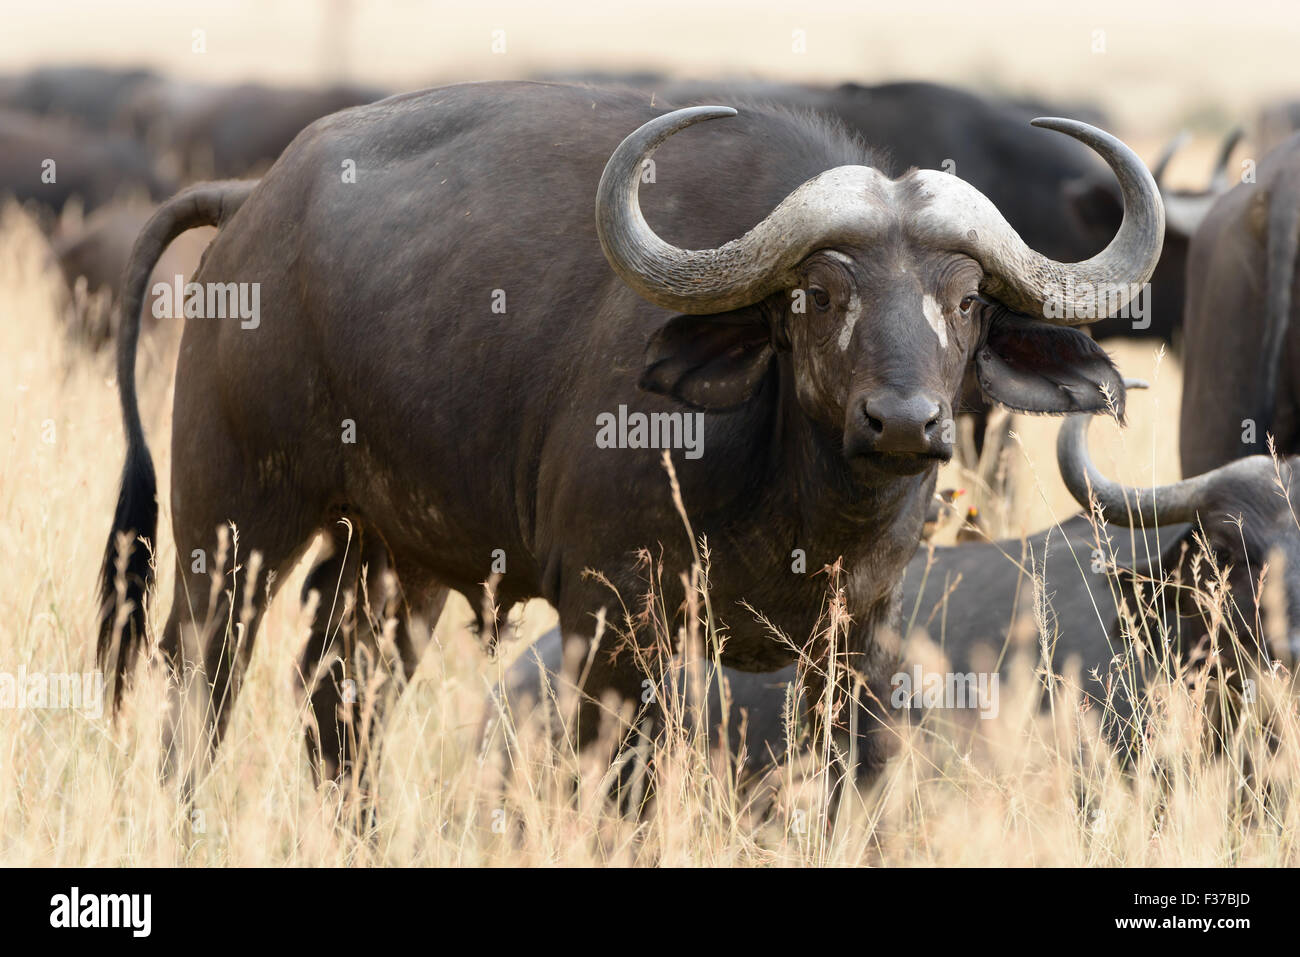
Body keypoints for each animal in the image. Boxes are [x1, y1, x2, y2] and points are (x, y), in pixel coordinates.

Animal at [96, 83, 1164, 800]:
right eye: (819, 294)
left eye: (969, 299)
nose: (903, 421)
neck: (795, 498)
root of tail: (249, 206)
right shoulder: (610, 621)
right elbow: (616, 788)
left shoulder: (853, 642)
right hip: (231, 524)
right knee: (201, 680)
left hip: (394, 558)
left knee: (339, 694)